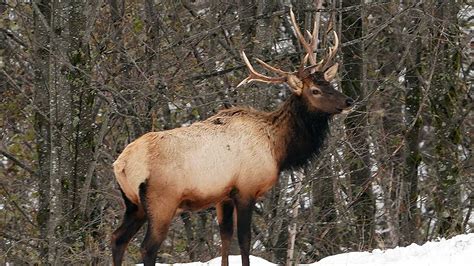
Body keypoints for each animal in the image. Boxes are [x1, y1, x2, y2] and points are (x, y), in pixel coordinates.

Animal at [111, 8, 354, 266]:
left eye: (329, 82)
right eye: (315, 90)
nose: (349, 101)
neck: (277, 149)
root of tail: (122, 164)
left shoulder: (223, 196)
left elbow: (225, 237)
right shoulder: (246, 188)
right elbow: (244, 240)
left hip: (133, 204)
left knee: (117, 238)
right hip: (161, 201)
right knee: (147, 247)